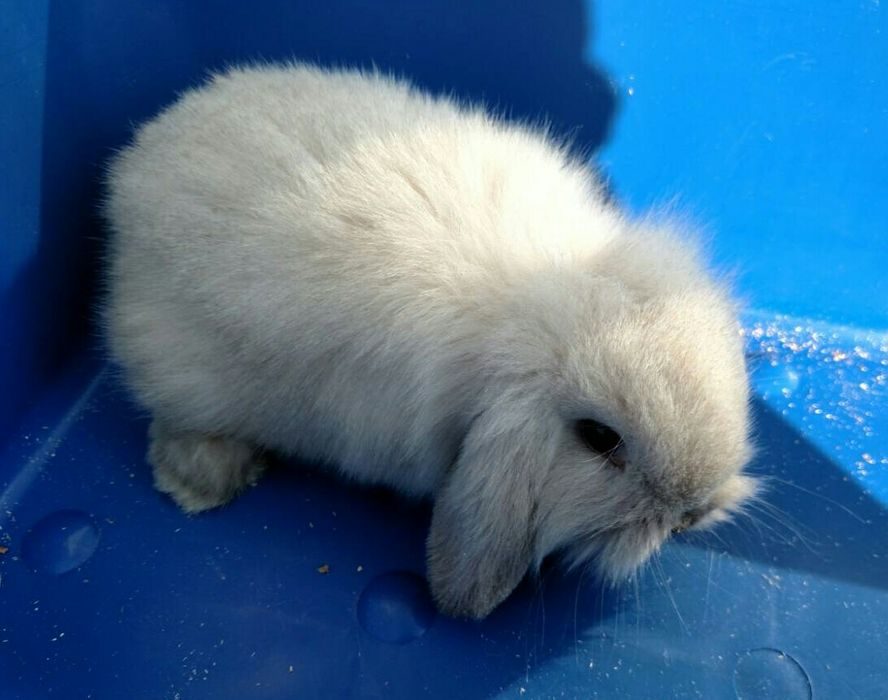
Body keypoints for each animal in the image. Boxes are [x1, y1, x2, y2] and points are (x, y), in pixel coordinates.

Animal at [103, 63, 756, 619]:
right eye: (599, 438)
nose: (693, 513)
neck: (532, 298)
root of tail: (135, 164)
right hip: (184, 373)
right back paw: (202, 482)